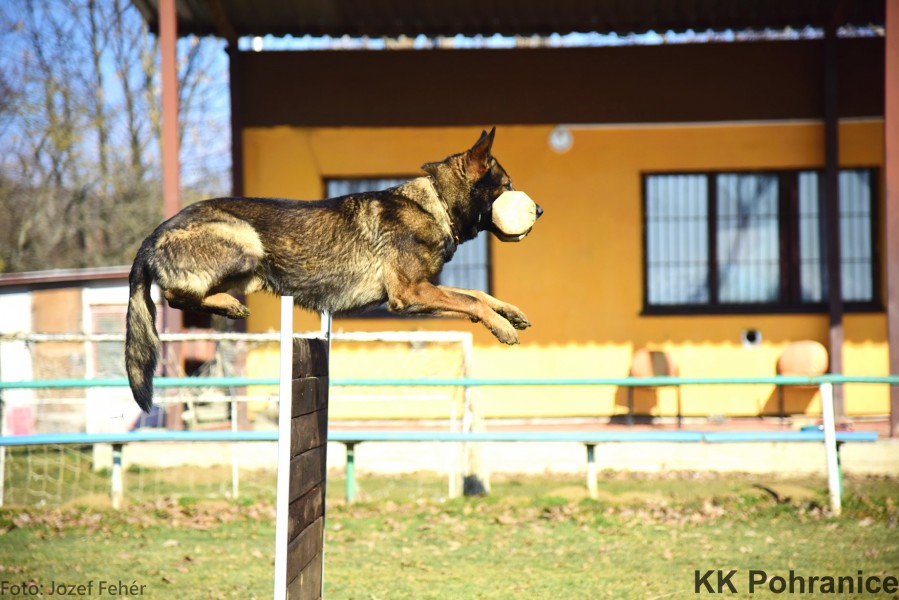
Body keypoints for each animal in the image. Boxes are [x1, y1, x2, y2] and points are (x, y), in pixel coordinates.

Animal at [125, 129, 540, 412]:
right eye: (508, 186)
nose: (539, 210)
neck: (434, 202)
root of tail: (153, 234)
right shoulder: (411, 293)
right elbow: (472, 301)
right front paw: (501, 327)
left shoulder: (420, 295)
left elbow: (476, 294)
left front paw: (510, 313)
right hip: (246, 241)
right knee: (175, 296)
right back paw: (226, 303)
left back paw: (226, 303)